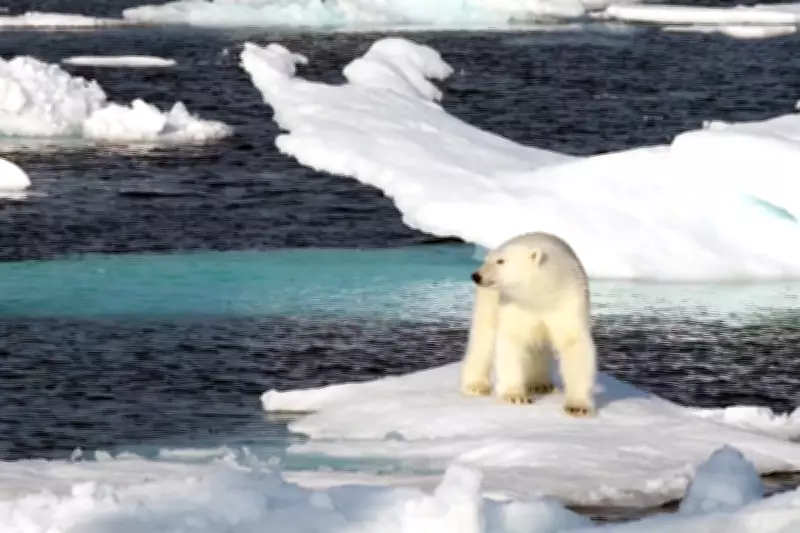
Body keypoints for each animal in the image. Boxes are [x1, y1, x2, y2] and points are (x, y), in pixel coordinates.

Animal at [459, 231, 597, 418]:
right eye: (487, 259)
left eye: (501, 260)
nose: (476, 275)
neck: (540, 294)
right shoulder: (514, 303)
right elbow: (512, 339)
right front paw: (516, 396)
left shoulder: (568, 301)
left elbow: (573, 343)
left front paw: (578, 407)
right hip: (488, 298)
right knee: (484, 337)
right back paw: (476, 385)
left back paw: (541, 384)